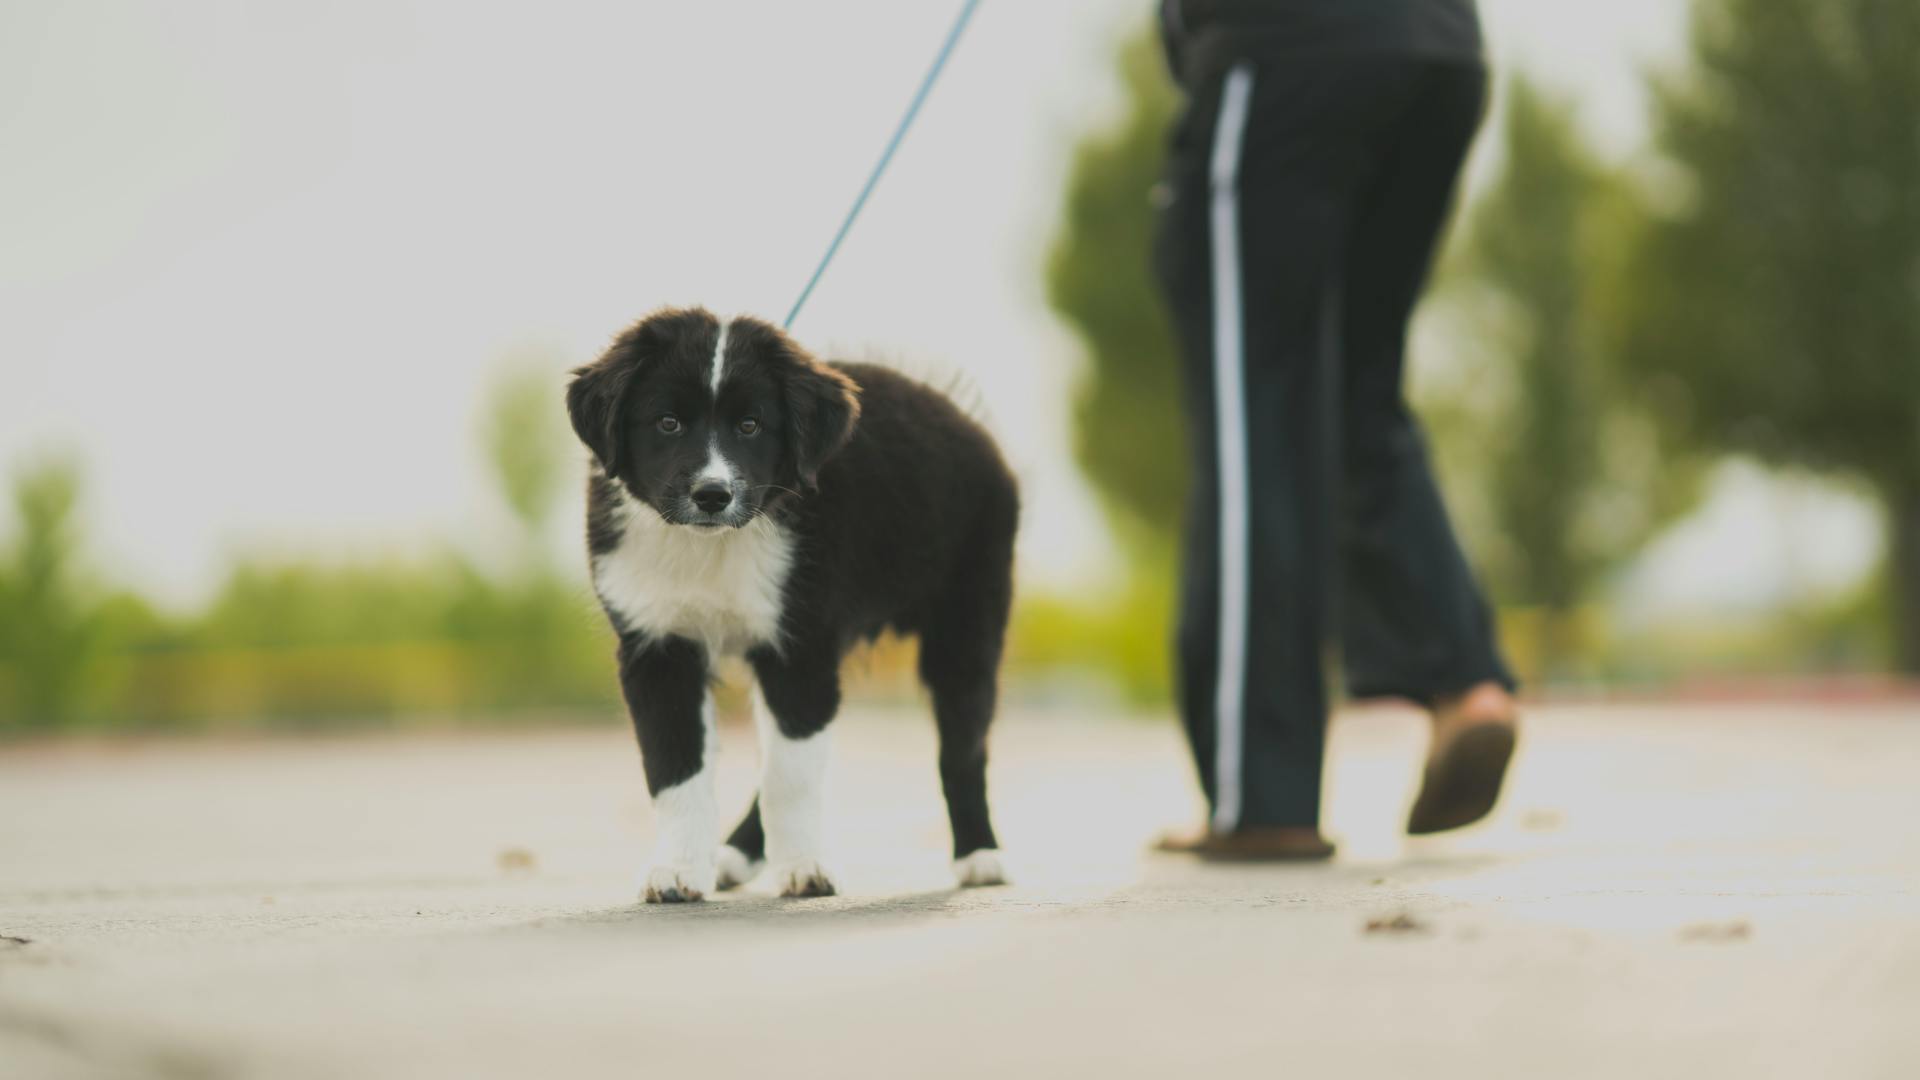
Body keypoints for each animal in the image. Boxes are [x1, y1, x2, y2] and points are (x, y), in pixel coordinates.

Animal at [568, 305, 1021, 899]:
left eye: (750, 425)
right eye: (667, 422)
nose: (712, 495)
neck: (713, 545)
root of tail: (967, 421)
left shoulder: (801, 647)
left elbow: (791, 776)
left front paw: (805, 868)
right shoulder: (658, 647)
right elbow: (675, 768)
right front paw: (677, 871)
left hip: (967, 623)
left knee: (963, 747)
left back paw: (980, 855)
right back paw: (733, 856)